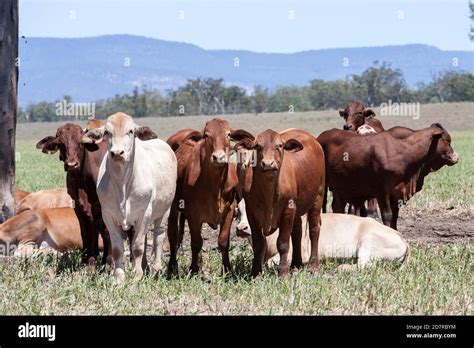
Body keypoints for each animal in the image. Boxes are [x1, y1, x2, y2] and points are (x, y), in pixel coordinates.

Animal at [82, 113, 177, 282]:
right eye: (107, 132)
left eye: (131, 131)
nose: (117, 153)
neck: (122, 184)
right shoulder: (108, 216)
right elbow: (118, 248)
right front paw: (119, 276)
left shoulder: (144, 213)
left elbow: (137, 247)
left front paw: (137, 275)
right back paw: (145, 266)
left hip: (164, 210)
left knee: (158, 236)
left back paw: (155, 268)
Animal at [168, 118, 254, 276]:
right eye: (207, 135)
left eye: (228, 134)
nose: (218, 157)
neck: (215, 185)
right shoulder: (193, 213)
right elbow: (196, 243)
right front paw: (193, 269)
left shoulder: (229, 210)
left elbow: (223, 241)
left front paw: (227, 269)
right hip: (172, 207)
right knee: (173, 235)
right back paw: (172, 267)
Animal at [235, 128, 324, 278]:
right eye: (257, 146)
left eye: (280, 146)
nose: (268, 164)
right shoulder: (251, 211)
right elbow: (258, 243)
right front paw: (256, 273)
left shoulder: (288, 208)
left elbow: (283, 243)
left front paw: (283, 273)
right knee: (297, 231)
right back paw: (296, 264)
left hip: (318, 198)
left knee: (314, 230)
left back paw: (313, 266)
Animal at [235, 200, 410, 268]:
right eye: (238, 211)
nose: (241, 228)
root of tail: (402, 237)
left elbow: (270, 262)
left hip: (368, 243)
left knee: (364, 266)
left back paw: (342, 267)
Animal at [318, 123, 460, 230]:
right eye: (447, 140)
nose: (456, 157)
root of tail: (319, 138)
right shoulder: (382, 191)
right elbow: (387, 215)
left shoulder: (397, 193)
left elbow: (395, 216)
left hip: (339, 189)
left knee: (337, 207)